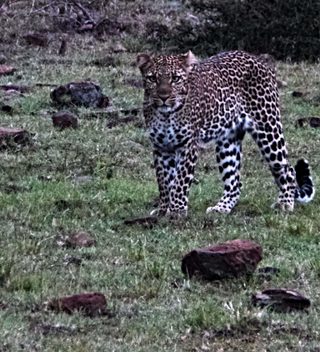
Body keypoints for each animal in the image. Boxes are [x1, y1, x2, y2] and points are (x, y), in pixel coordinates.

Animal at [136, 49, 314, 217]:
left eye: (175, 78)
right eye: (152, 79)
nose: (163, 96)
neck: (165, 116)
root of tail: (256, 58)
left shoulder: (187, 146)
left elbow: (180, 181)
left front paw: (176, 211)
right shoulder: (161, 148)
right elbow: (164, 182)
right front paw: (163, 210)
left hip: (267, 128)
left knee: (287, 169)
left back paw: (285, 203)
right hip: (228, 141)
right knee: (235, 182)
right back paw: (221, 208)